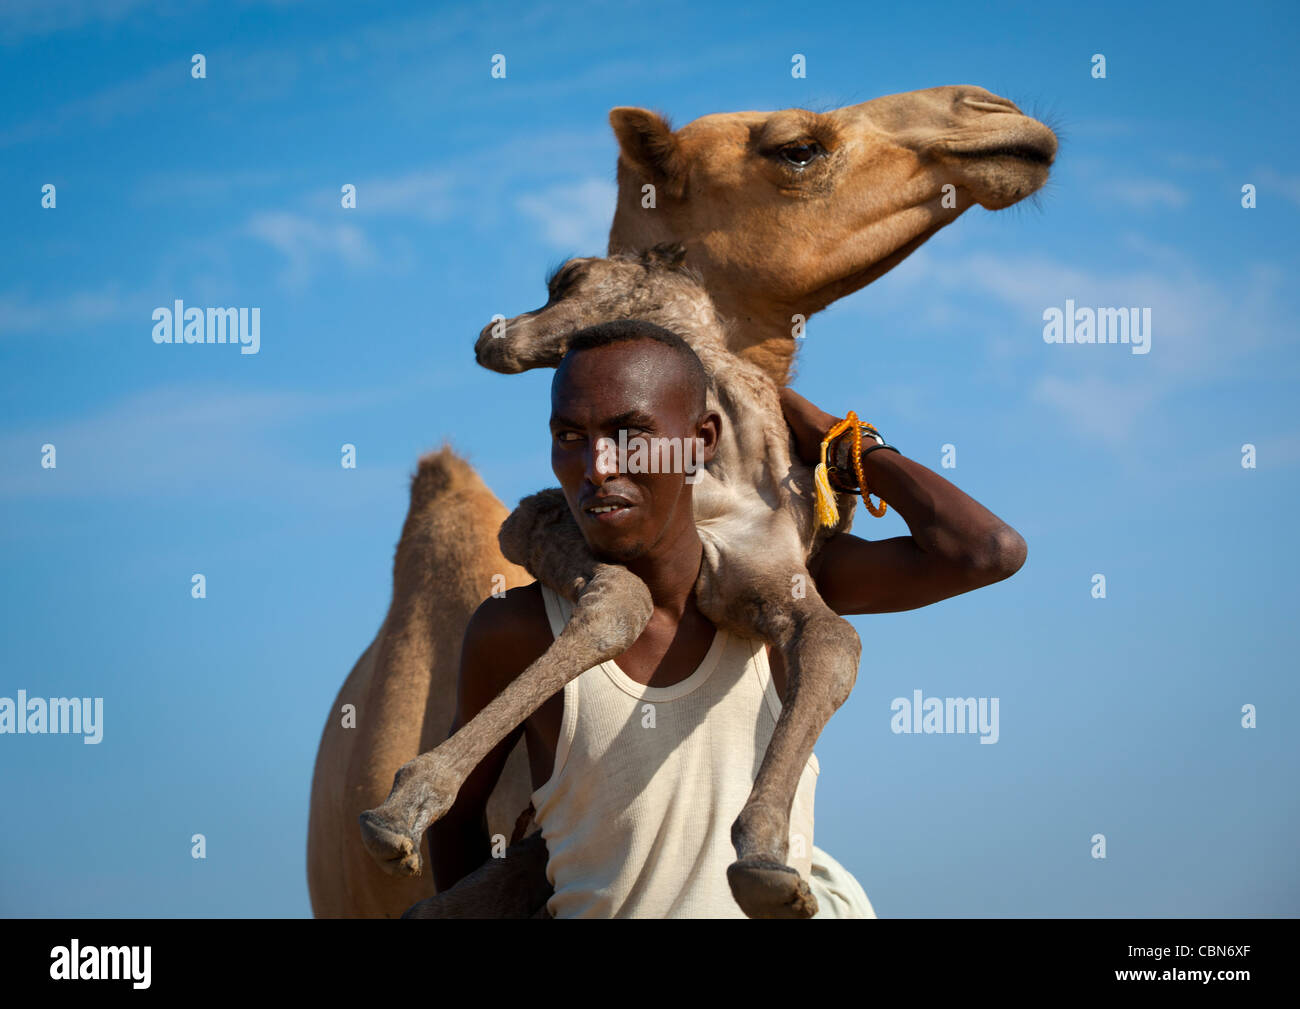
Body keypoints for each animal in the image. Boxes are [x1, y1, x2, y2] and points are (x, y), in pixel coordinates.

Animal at [307, 85, 1056, 918]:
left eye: (566, 278)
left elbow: (835, 640)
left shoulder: (773, 573)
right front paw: (404, 805)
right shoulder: (536, 519)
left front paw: (763, 856)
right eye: (800, 147)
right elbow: (619, 602)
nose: (493, 334)